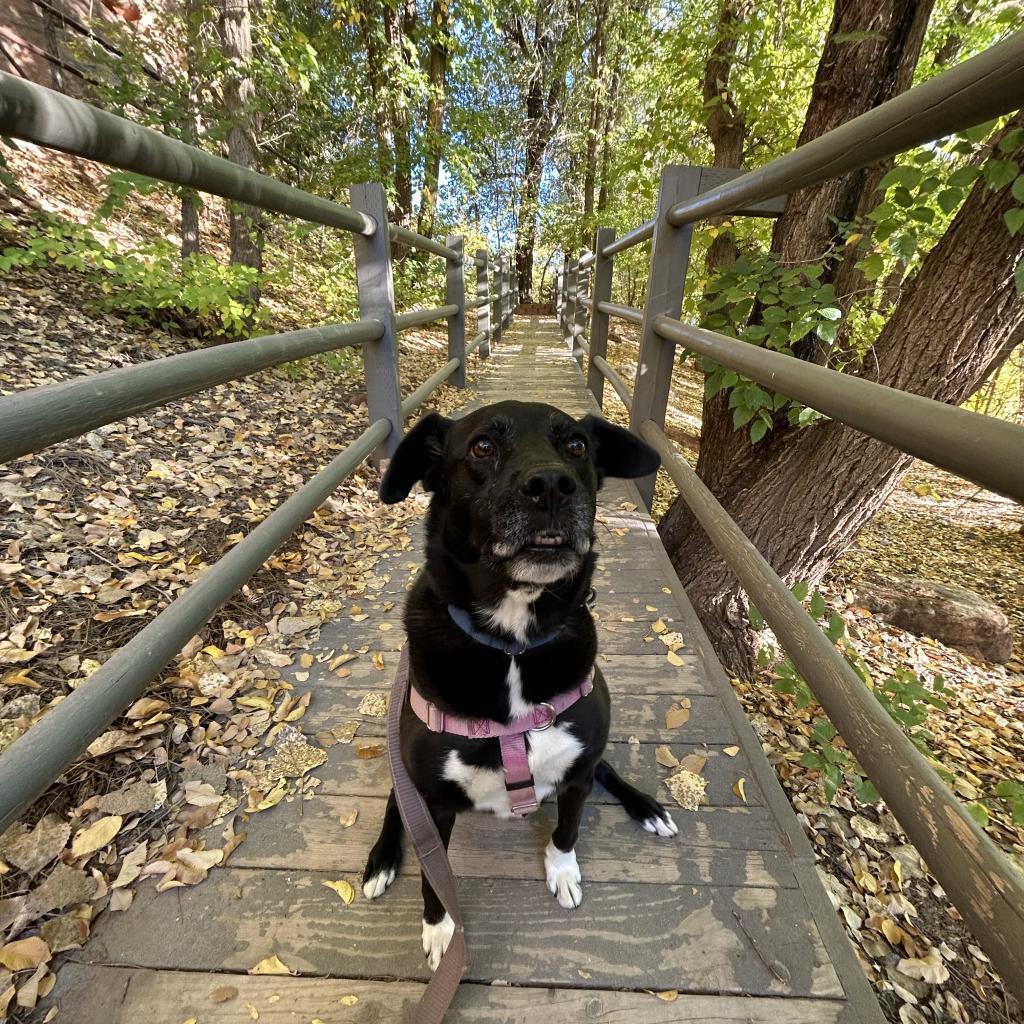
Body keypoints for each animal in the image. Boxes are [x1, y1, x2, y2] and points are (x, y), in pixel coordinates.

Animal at [362, 397, 679, 966]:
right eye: (482, 446)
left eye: (576, 445)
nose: (552, 484)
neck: (513, 640)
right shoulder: (433, 802)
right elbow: (434, 875)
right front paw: (441, 928)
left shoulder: (577, 769)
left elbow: (568, 828)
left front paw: (563, 871)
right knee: (396, 805)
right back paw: (381, 860)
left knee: (606, 770)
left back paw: (648, 808)